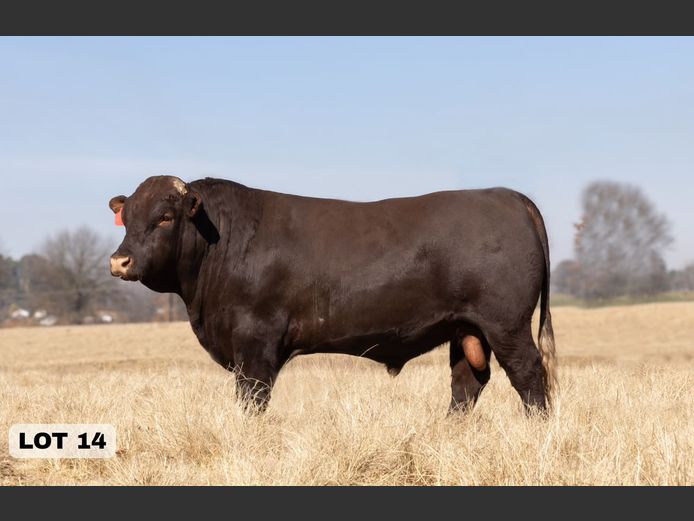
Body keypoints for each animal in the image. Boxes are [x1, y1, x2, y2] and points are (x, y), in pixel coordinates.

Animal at [109, 175, 557, 414]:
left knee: (529, 375)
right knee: (467, 383)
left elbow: (253, 399)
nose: (119, 261)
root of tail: (506, 195)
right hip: (466, 328)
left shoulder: (255, 343)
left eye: (165, 217)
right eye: (126, 218)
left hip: (506, 324)